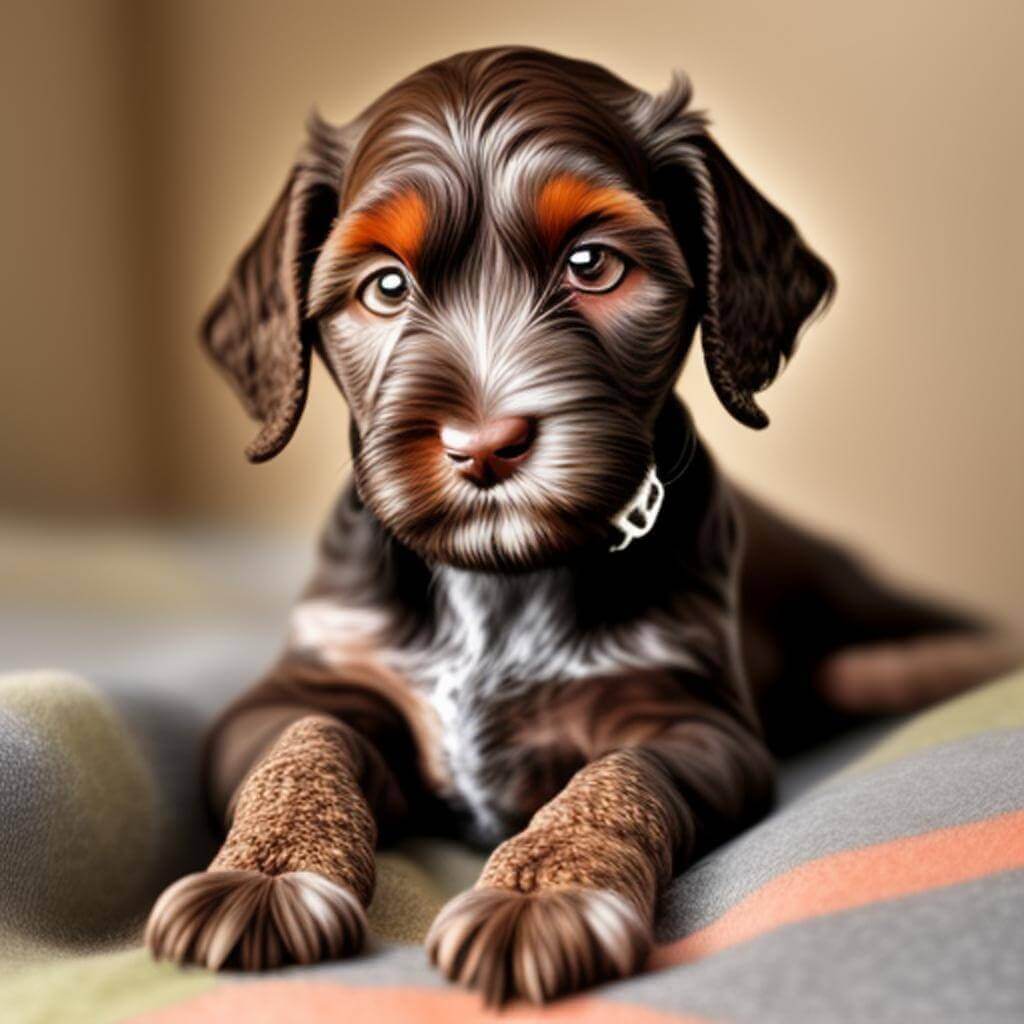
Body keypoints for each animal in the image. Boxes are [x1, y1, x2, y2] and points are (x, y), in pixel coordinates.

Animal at [144, 48, 1015, 1007]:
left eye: (594, 265)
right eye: (385, 286)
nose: (484, 446)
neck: (499, 577)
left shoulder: (694, 720)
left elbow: (620, 776)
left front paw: (542, 896)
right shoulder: (294, 689)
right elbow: (302, 746)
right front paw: (262, 875)